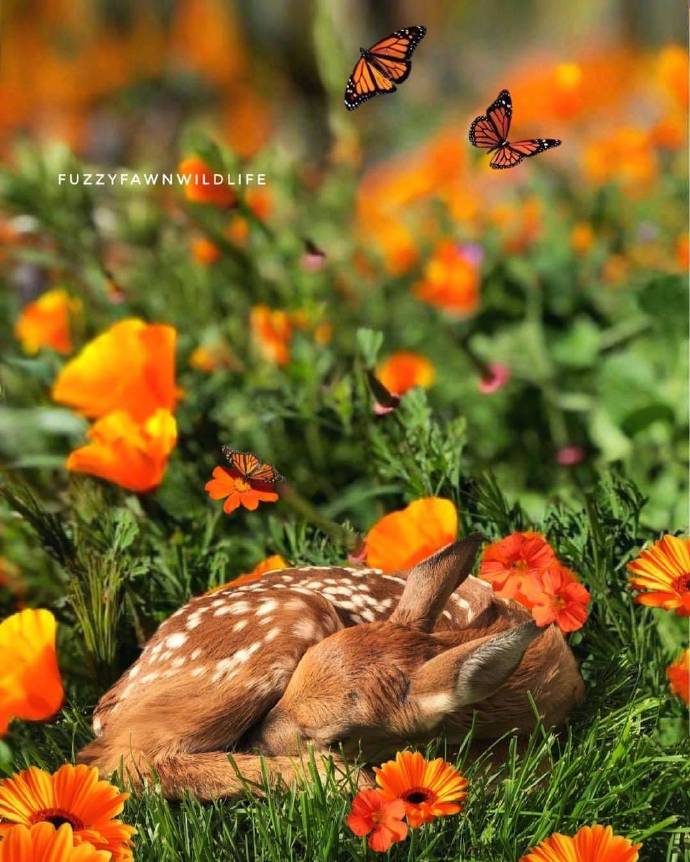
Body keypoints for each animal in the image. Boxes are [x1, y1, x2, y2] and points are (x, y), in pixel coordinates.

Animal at [77, 535, 585, 799]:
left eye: (341, 734)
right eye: (288, 691)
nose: (255, 741)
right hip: (284, 624)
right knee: (127, 760)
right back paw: (337, 779)